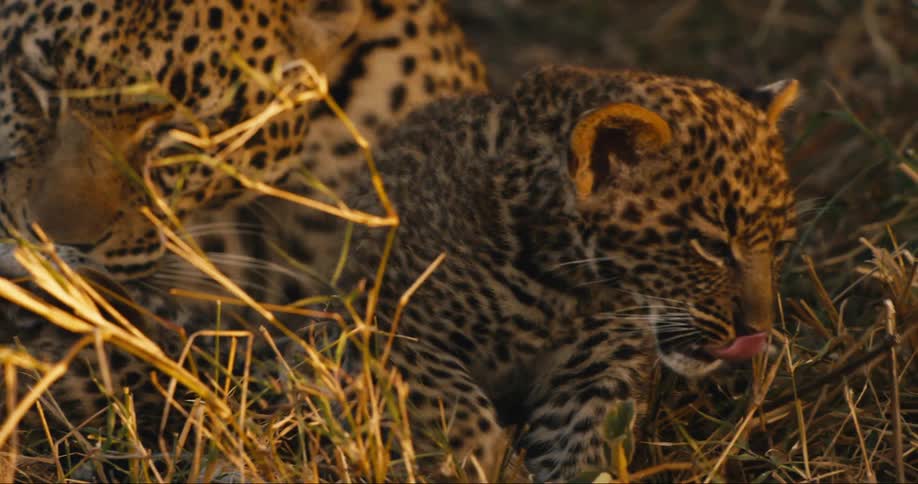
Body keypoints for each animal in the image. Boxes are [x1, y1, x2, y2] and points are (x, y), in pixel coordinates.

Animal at [341, 64, 799, 481]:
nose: (757, 331)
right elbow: (450, 403)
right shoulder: (380, 316)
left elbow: (586, 436)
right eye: (711, 246)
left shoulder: (599, 360)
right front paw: (472, 460)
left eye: (779, 247)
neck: (563, 285)